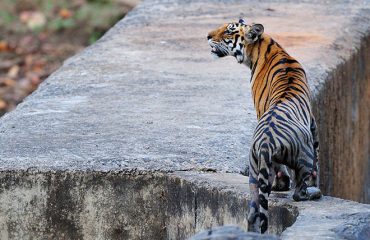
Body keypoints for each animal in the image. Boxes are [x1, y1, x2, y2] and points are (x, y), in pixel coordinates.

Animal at [207, 19, 322, 234]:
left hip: (253, 171)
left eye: (228, 31)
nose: (207, 36)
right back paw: (313, 192)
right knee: (298, 191)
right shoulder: (312, 124)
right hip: (304, 155)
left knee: (253, 210)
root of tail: (266, 143)